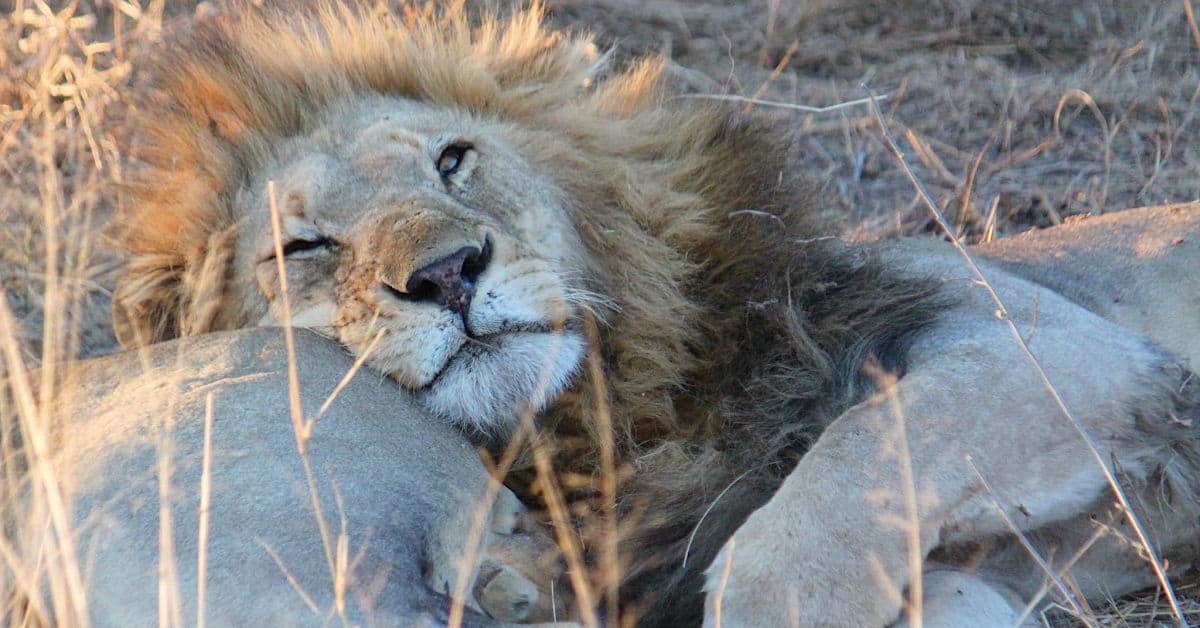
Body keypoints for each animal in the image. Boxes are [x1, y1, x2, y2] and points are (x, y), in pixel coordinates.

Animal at [110, 3, 1200, 626]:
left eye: (453, 160)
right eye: (304, 247)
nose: (449, 273)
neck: (602, 420)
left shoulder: (1062, 350)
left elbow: (839, 474)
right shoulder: (1004, 561)